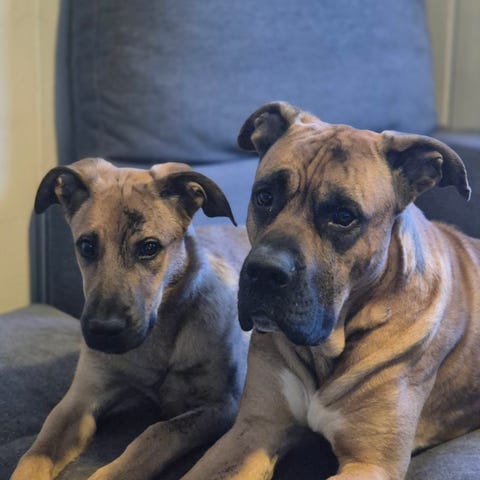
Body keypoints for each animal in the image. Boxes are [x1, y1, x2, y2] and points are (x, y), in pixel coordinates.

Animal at [11, 158, 250, 480]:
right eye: (86, 246)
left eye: (149, 247)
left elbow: (158, 433)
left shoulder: (222, 405)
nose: (102, 331)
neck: (158, 339)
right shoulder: (78, 400)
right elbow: (36, 453)